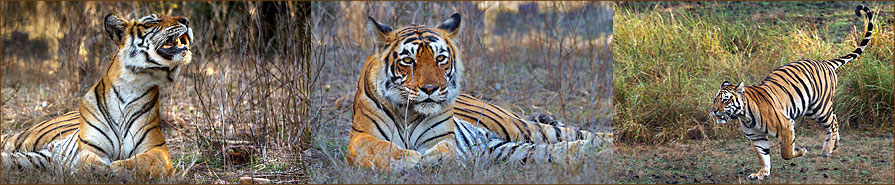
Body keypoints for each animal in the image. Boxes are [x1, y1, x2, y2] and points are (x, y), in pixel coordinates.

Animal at [2, 13, 192, 178]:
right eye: (152, 21)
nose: (186, 20)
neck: (133, 84)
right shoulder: (90, 147)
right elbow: (87, 161)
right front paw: (98, 169)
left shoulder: (158, 149)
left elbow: (143, 161)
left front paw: (119, 168)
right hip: (25, 140)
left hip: (34, 159)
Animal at [346, 12, 612, 170]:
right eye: (409, 61)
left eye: (440, 59)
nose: (430, 89)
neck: (408, 112)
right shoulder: (359, 137)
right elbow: (382, 148)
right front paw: (412, 159)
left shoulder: (442, 137)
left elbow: (444, 149)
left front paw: (433, 158)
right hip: (504, 149)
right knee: (544, 151)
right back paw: (579, 150)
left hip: (520, 128)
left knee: (584, 134)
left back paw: (605, 144)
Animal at [712, 4, 876, 181]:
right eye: (715, 100)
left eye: (726, 100)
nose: (714, 111)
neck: (744, 115)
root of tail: (825, 62)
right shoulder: (756, 137)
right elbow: (763, 156)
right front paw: (762, 173)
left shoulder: (785, 125)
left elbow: (786, 152)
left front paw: (801, 151)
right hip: (810, 108)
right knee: (834, 118)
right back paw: (834, 145)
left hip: (820, 108)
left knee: (832, 122)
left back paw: (826, 150)